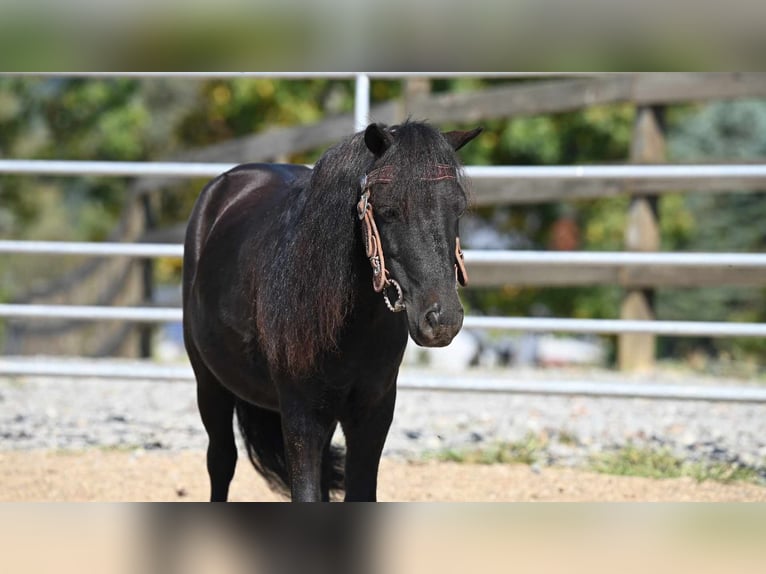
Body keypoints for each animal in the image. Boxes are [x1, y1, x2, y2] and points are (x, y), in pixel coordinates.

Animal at [183, 121, 480, 504]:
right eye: (388, 210)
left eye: (458, 208)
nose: (442, 320)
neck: (351, 325)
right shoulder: (302, 417)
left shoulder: (373, 413)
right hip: (209, 382)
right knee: (221, 461)